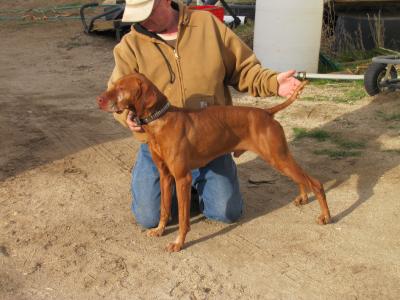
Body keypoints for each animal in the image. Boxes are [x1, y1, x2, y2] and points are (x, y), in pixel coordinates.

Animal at [97, 72, 332, 251]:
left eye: (120, 88)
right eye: (113, 84)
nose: (99, 100)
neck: (160, 121)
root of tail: (266, 112)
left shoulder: (182, 178)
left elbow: (182, 218)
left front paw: (178, 243)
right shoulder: (165, 176)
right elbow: (164, 209)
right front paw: (160, 229)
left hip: (278, 157)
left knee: (316, 183)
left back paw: (326, 216)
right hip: (280, 157)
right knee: (302, 178)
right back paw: (303, 197)